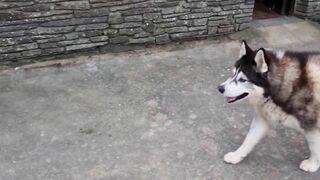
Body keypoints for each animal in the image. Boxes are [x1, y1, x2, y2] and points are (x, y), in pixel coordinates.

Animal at [218, 40, 320, 172]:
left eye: (242, 80)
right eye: (233, 74)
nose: (220, 88)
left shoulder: (312, 126)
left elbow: (314, 147)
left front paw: (312, 164)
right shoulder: (263, 119)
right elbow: (249, 140)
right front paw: (236, 155)